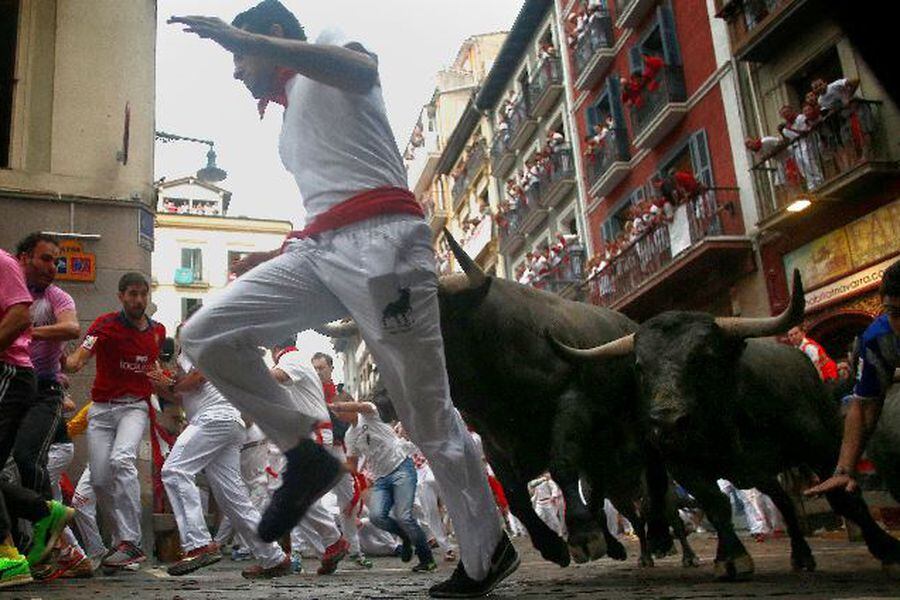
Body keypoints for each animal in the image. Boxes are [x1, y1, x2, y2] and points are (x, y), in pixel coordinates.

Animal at [320, 230, 692, 568]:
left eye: (430, 324)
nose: (382, 398)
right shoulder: (492, 439)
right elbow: (514, 494)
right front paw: (552, 546)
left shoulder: (571, 404)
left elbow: (561, 466)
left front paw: (582, 537)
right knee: (601, 492)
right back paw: (617, 544)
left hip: (643, 434)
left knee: (654, 480)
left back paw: (659, 538)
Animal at [552, 274, 900, 580]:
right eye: (640, 366)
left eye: (702, 358)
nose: (666, 421)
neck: (722, 423)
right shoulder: (682, 465)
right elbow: (715, 504)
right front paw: (732, 558)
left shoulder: (818, 446)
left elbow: (844, 495)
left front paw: (886, 549)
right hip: (754, 473)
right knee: (781, 500)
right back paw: (799, 555)